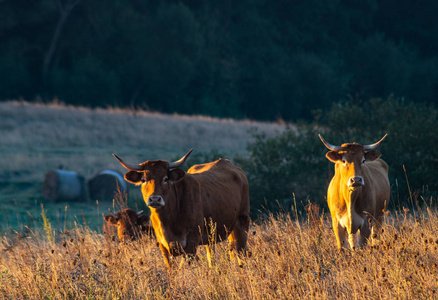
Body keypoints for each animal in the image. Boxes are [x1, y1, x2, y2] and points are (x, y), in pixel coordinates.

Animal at [113, 149, 250, 268]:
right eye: (143, 180)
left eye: (166, 178)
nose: (155, 199)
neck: (169, 219)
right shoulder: (163, 247)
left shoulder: (191, 244)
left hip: (242, 222)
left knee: (240, 252)